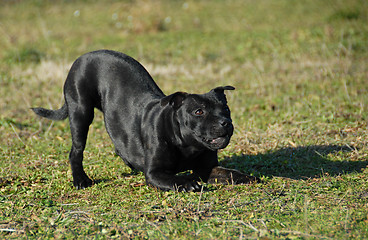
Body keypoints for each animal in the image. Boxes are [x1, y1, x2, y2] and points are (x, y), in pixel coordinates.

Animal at [32, 50, 258, 191]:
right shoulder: (155, 173)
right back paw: (80, 180)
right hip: (81, 113)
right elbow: (174, 178)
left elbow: (229, 173)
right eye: (199, 111)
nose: (225, 122)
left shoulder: (206, 168)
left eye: (225, 109)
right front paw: (186, 183)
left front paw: (246, 176)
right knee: (76, 151)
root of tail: (83, 57)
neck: (186, 144)